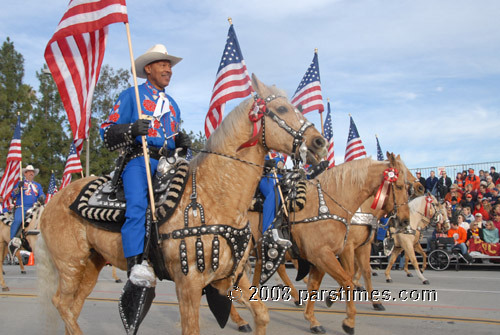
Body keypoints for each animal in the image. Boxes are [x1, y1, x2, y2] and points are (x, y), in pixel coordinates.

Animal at [37, 75, 330, 335]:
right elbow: (191, 329)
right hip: (70, 264)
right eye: (281, 109)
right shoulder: (187, 284)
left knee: (72, 307)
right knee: (61, 304)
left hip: (91, 264)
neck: (215, 196)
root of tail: (52, 203)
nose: (319, 142)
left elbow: (262, 315)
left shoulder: (235, 275)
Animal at [232, 154, 412, 334]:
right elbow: (347, 279)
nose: (405, 220)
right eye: (400, 186)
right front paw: (348, 321)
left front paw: (313, 320)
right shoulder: (325, 254)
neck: (331, 203)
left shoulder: (325, 257)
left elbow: (317, 285)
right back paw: (242, 319)